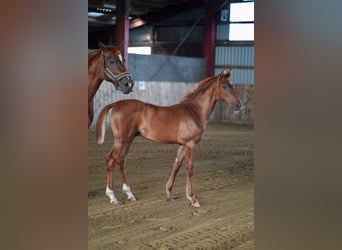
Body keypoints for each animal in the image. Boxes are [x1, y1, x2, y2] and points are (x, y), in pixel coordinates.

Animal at [96, 69, 240, 207]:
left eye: (232, 85)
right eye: (224, 86)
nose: (238, 105)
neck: (194, 111)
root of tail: (115, 104)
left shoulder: (182, 145)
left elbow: (176, 165)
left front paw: (169, 194)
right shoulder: (190, 144)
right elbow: (189, 168)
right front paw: (192, 198)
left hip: (129, 139)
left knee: (121, 160)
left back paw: (130, 194)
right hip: (120, 140)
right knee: (111, 160)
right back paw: (112, 197)